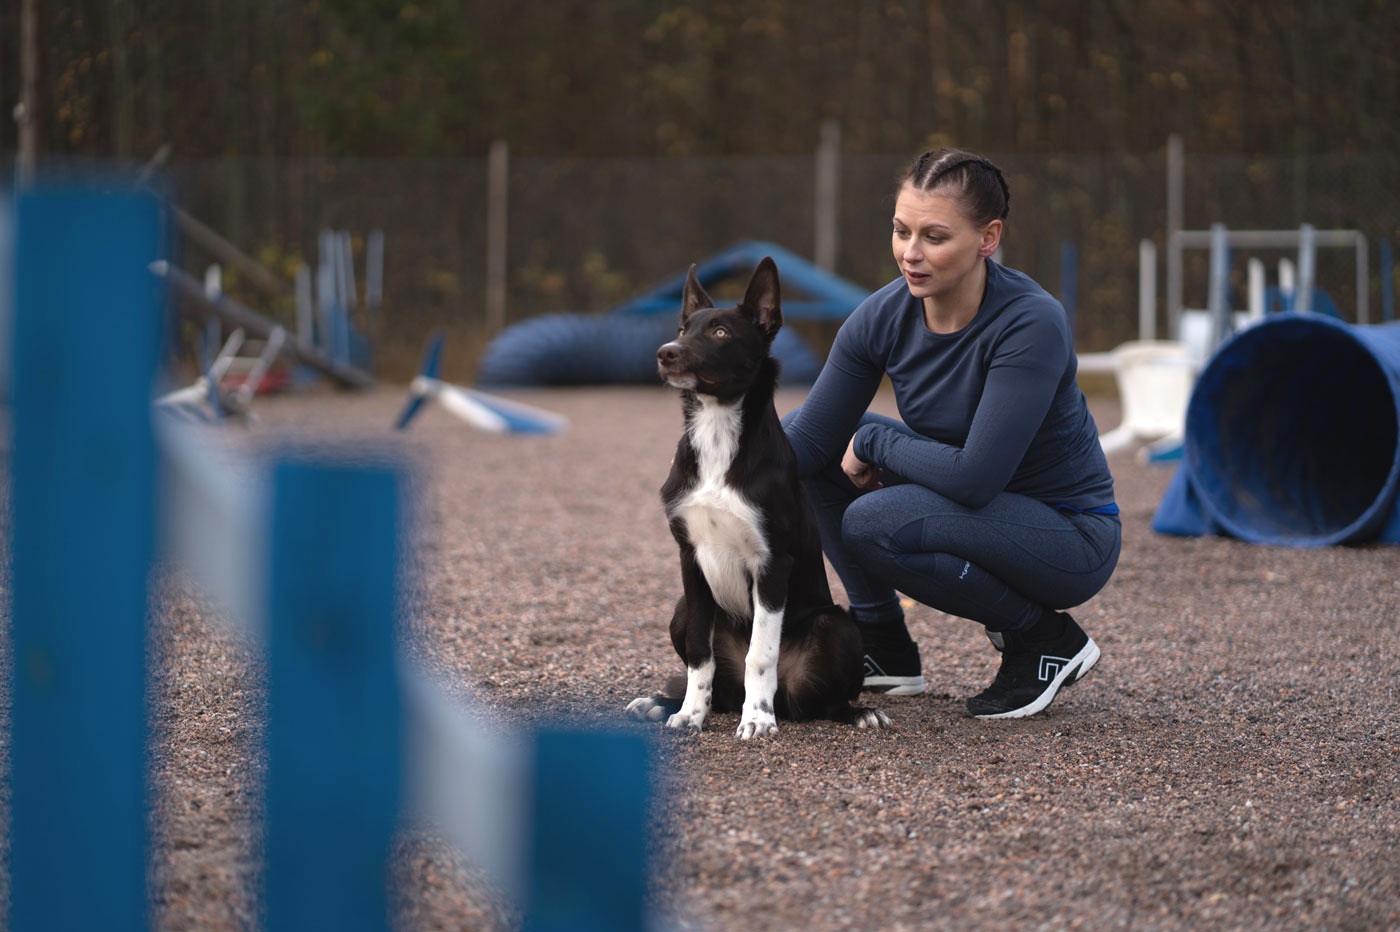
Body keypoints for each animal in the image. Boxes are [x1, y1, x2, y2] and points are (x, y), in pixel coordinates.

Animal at [625, 257, 891, 739]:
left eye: (720, 332)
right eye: (684, 327)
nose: (665, 352)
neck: (718, 432)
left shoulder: (771, 564)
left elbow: (761, 653)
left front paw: (757, 719)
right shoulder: (690, 560)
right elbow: (700, 654)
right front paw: (689, 713)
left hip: (838, 624)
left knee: (819, 701)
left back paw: (853, 711)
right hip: (681, 607)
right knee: (721, 687)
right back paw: (661, 702)